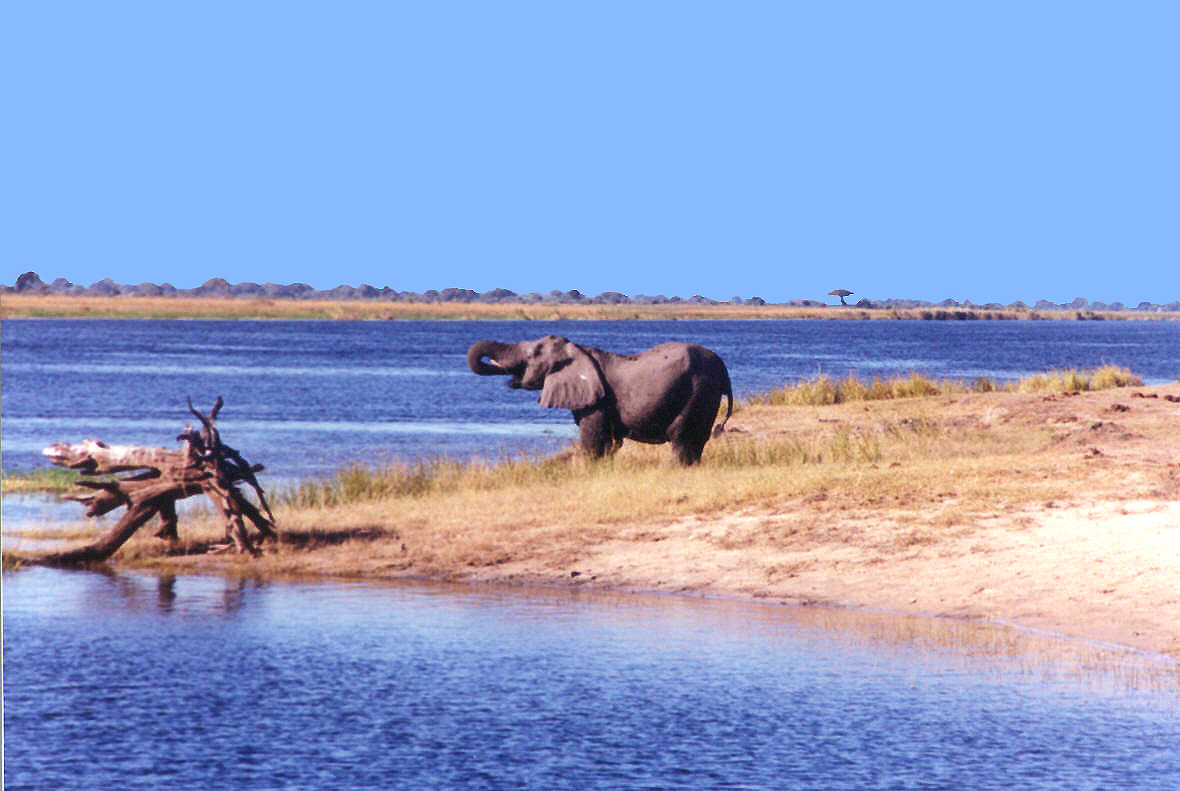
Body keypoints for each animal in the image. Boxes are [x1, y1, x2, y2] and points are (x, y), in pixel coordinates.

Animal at [467, 335, 726, 465]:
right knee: (696, 440)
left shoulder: (597, 401)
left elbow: (593, 440)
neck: (578, 350)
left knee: (682, 438)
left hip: (698, 390)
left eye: (532, 355)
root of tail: (722, 366)